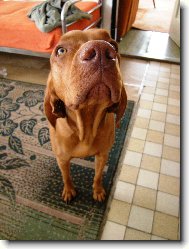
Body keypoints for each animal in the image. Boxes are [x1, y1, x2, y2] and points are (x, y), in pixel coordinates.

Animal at [44, 28, 127, 202]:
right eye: (60, 50)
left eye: (114, 45)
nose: (101, 50)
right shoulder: (62, 159)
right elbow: (66, 177)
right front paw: (69, 191)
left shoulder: (103, 155)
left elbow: (98, 176)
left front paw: (98, 191)